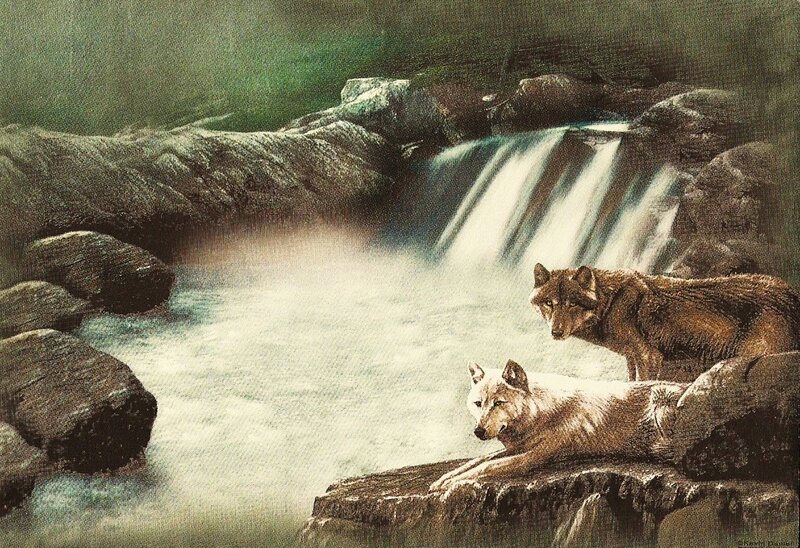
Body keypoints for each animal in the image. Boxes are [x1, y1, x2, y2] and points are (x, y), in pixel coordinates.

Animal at [429, 360, 686, 491]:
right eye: (478, 403)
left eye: (499, 403)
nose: (478, 431)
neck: (542, 412)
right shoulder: (518, 447)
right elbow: (477, 461)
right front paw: (443, 479)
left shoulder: (530, 458)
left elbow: (486, 466)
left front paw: (451, 483)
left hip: (661, 399)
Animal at [530, 264, 800, 381]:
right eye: (549, 303)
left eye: (571, 304)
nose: (556, 332)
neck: (611, 302)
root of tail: (791, 294)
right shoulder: (632, 358)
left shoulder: (649, 357)